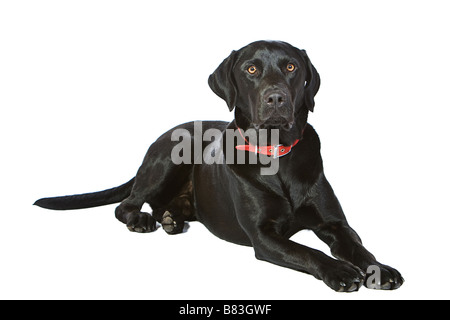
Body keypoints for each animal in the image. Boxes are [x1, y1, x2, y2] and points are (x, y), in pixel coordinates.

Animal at [33, 39, 402, 290]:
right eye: (251, 69)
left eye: (291, 67)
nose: (276, 97)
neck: (276, 155)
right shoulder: (263, 236)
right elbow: (309, 251)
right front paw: (340, 271)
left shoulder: (335, 224)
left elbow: (359, 247)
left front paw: (379, 269)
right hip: (167, 161)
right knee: (127, 204)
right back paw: (142, 220)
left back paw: (171, 219)